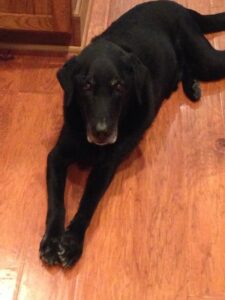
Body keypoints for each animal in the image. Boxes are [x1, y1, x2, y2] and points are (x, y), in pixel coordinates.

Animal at [39, 0, 225, 268]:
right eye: (86, 86)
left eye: (119, 86)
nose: (102, 133)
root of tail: (179, 6)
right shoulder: (56, 156)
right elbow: (56, 202)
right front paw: (52, 241)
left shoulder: (106, 166)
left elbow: (87, 202)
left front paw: (72, 242)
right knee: (184, 68)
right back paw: (191, 87)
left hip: (206, 59)